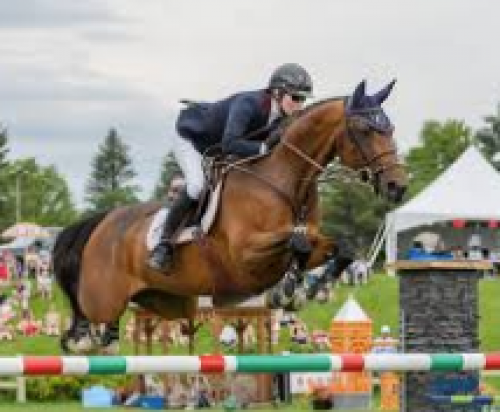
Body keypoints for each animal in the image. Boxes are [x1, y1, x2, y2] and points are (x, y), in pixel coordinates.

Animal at [54, 80, 406, 354]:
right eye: (364, 129)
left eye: (390, 128)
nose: (397, 186)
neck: (285, 180)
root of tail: (103, 221)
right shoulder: (246, 253)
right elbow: (298, 241)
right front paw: (290, 290)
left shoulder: (310, 239)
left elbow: (336, 247)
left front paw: (311, 289)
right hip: (102, 298)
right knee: (85, 313)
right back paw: (84, 338)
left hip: (166, 300)